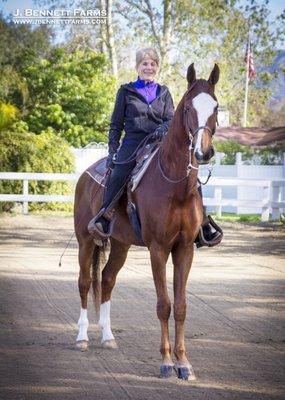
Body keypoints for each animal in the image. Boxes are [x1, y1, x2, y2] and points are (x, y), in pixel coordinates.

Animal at [74, 63, 220, 382]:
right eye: (189, 107)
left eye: (215, 107)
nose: (203, 152)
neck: (175, 186)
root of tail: (86, 173)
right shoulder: (158, 249)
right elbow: (163, 305)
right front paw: (166, 362)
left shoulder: (184, 249)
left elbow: (181, 306)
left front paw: (184, 363)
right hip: (85, 240)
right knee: (84, 282)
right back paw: (82, 338)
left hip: (120, 244)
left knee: (107, 279)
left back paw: (107, 337)